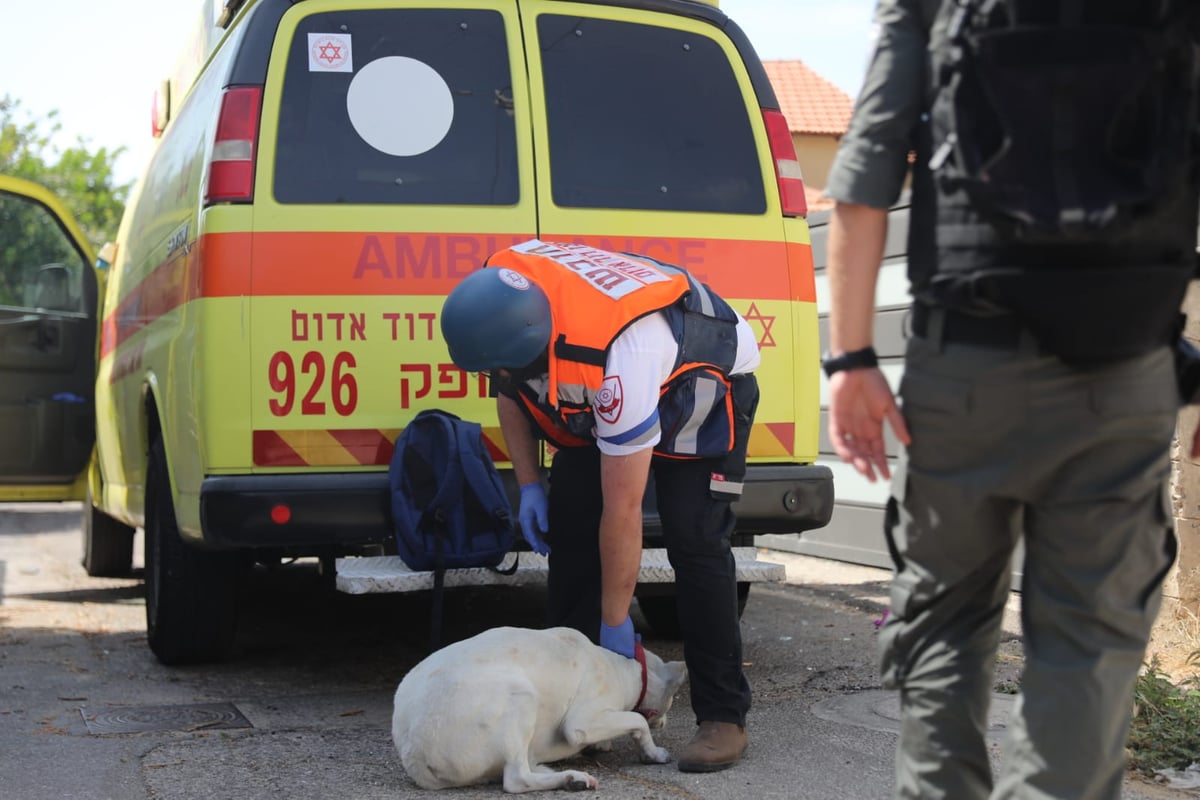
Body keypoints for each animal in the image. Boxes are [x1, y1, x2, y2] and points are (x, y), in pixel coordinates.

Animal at [393, 623, 691, 796]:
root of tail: (413, 755)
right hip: (521, 698)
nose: (664, 723)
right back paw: (569, 778)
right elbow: (636, 720)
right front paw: (652, 752)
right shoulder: (580, 723)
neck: (626, 667)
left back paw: (567, 777)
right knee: (516, 779)